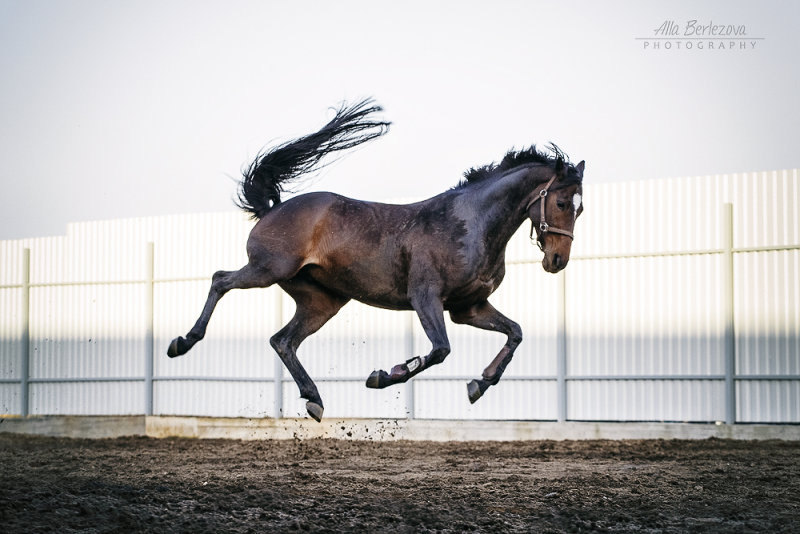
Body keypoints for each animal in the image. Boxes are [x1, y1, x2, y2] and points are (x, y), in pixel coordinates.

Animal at [169, 100, 584, 422]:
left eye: (581, 208)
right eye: (563, 202)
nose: (557, 260)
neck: (470, 223)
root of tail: (274, 207)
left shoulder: (468, 307)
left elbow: (515, 333)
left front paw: (479, 385)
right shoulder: (426, 298)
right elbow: (440, 350)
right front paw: (384, 375)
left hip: (321, 302)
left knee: (282, 340)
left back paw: (315, 401)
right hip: (267, 269)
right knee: (220, 280)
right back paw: (182, 343)